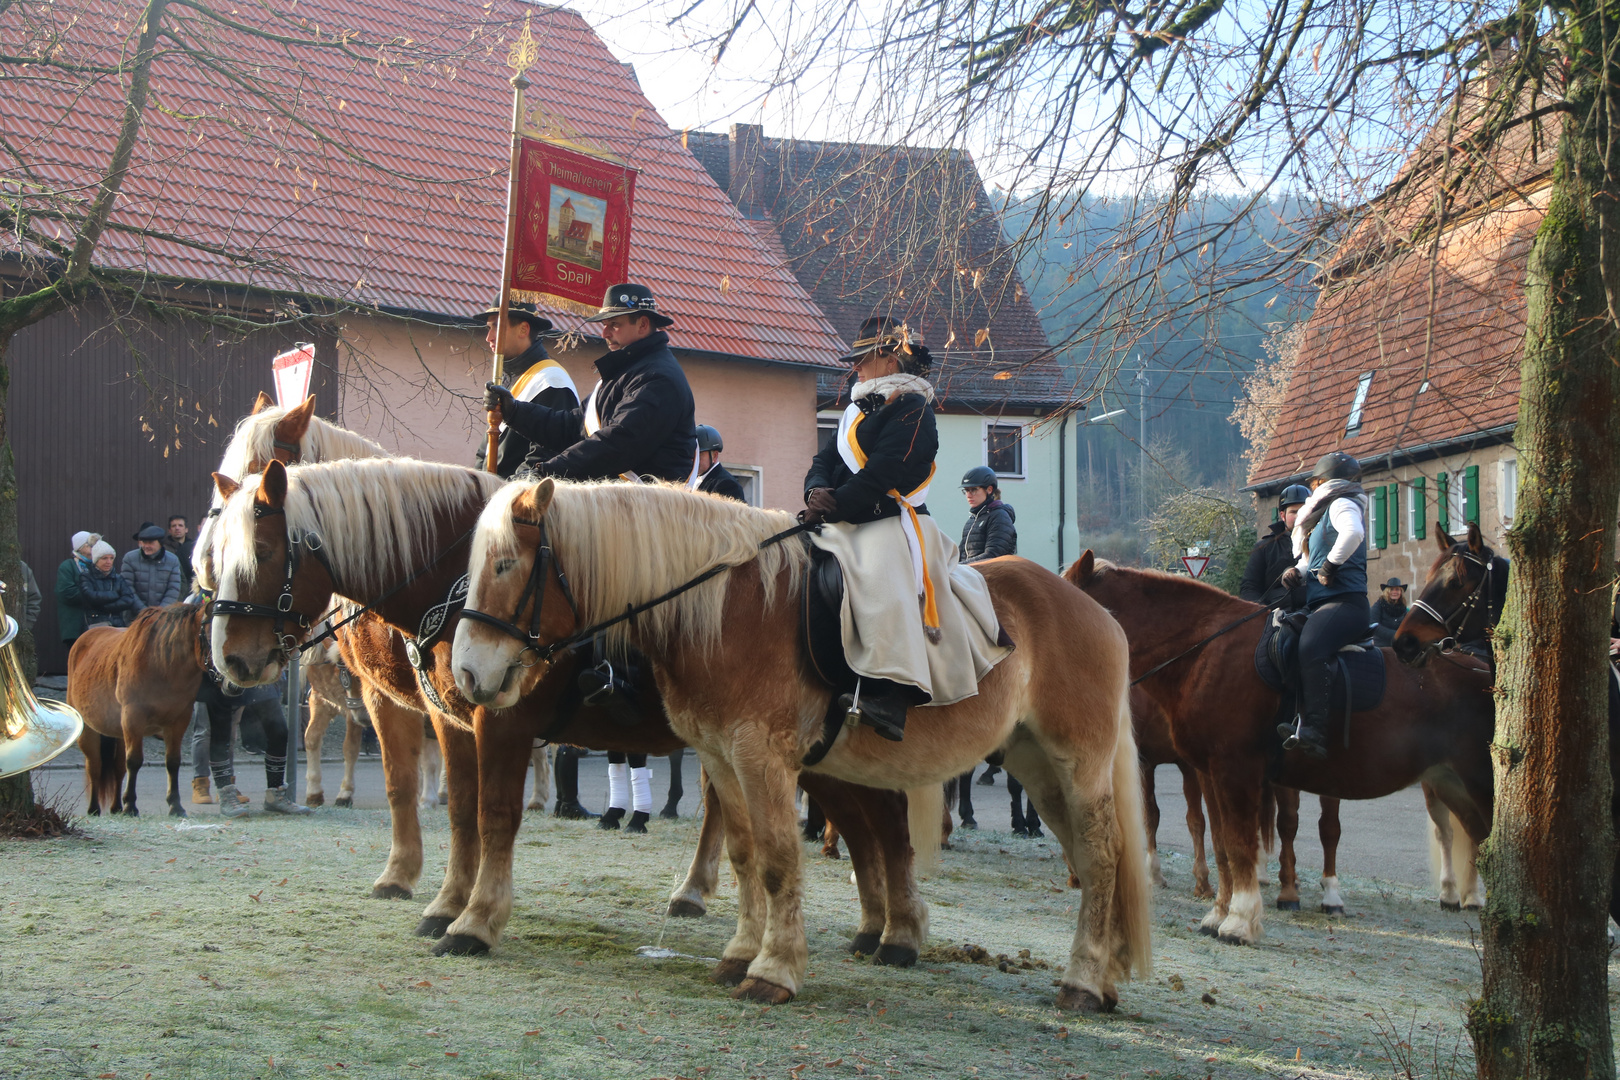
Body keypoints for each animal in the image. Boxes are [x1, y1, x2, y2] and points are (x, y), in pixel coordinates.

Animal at [66, 605, 208, 816]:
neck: (164, 665)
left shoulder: (179, 720)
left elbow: (173, 762)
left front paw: (175, 805)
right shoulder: (133, 717)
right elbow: (133, 761)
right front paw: (130, 805)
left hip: (119, 732)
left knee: (117, 767)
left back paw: (116, 806)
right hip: (89, 729)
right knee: (95, 766)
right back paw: (94, 808)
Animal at [204, 456, 939, 965]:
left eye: (262, 552)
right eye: (216, 556)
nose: (232, 661)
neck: (455, 588)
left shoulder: (498, 722)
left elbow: (493, 816)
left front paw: (475, 921)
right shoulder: (452, 720)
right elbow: (461, 812)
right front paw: (445, 904)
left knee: (882, 824)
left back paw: (895, 934)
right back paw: (859, 925)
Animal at [447, 476, 1153, 1010]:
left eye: (506, 565)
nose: (468, 675)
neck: (726, 605)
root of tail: (1094, 610)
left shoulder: (762, 758)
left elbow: (779, 859)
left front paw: (774, 970)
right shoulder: (719, 757)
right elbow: (742, 854)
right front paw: (740, 954)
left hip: (1078, 764)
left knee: (1100, 860)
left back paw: (1082, 983)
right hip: (1036, 766)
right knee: (1091, 859)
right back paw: (1104, 977)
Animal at [1062, 553, 1490, 939]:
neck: (1205, 650)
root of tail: (1484, 667)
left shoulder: (1235, 770)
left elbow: (1240, 843)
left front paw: (1240, 920)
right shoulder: (1208, 772)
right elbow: (1222, 844)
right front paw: (1219, 913)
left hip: (1476, 780)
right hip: (1449, 782)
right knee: (1473, 835)